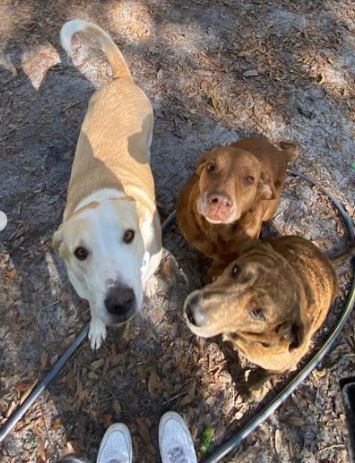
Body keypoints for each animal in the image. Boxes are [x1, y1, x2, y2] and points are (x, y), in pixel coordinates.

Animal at [53, 20, 162, 350]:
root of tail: (120, 80)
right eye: (80, 253)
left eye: (129, 235)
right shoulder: (83, 288)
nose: (120, 302)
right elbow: (92, 308)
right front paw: (97, 327)